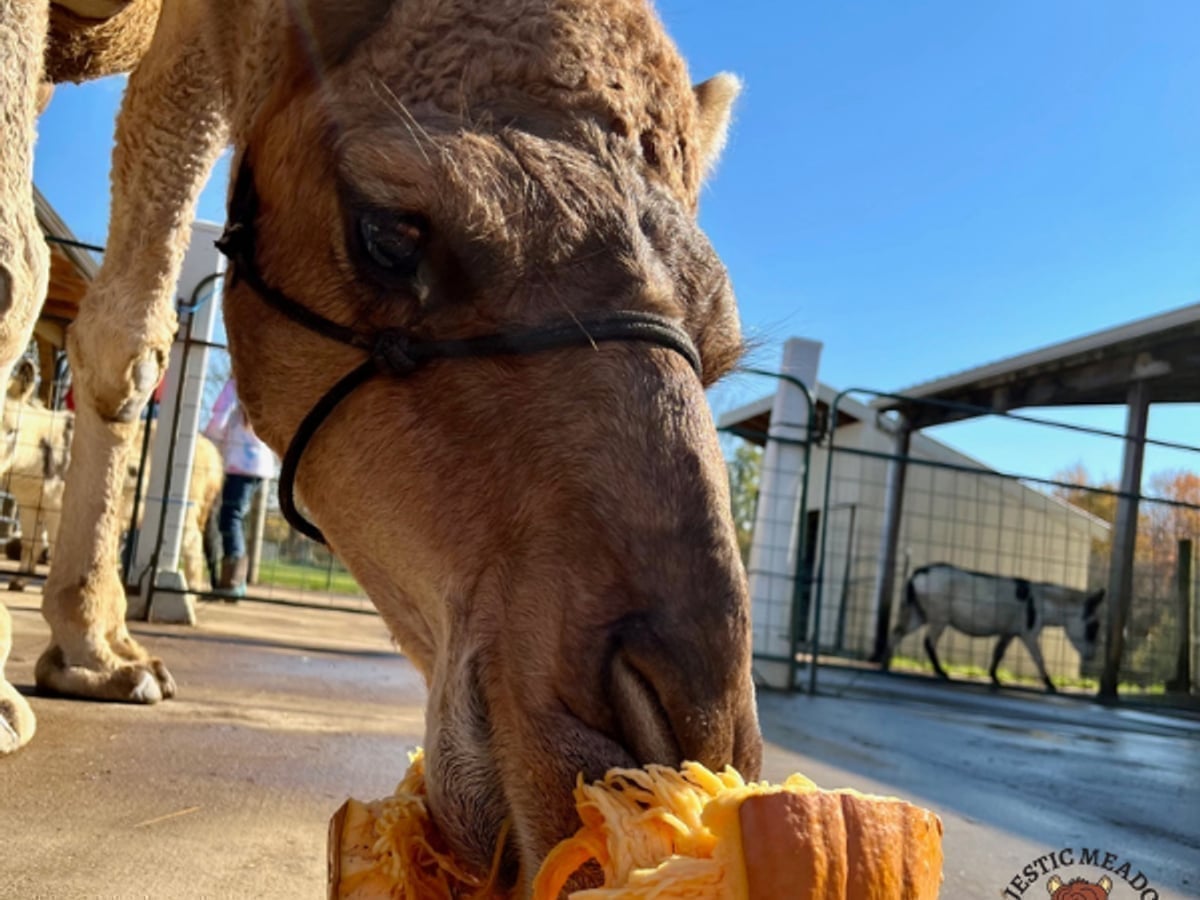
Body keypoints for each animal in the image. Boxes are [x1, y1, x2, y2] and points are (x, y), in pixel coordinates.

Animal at [0, 0, 761, 891]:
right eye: (390, 234)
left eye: (719, 354)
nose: (677, 739)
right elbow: (20, 273)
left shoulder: (188, 42)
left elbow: (128, 341)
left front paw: (96, 654)